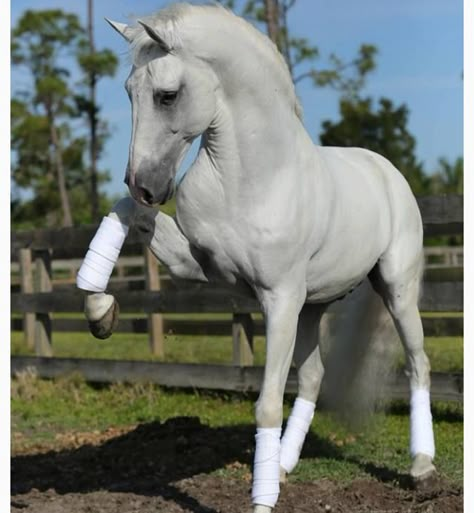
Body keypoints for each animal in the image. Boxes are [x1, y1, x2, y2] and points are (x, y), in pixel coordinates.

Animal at [80, 5, 434, 512]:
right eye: (129, 91)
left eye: (167, 95)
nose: (145, 185)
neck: (248, 180)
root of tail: (385, 170)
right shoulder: (197, 266)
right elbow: (126, 214)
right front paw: (100, 313)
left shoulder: (278, 298)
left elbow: (266, 403)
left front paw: (262, 501)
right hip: (312, 307)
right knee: (314, 377)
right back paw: (282, 465)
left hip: (394, 290)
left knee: (417, 363)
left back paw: (421, 468)